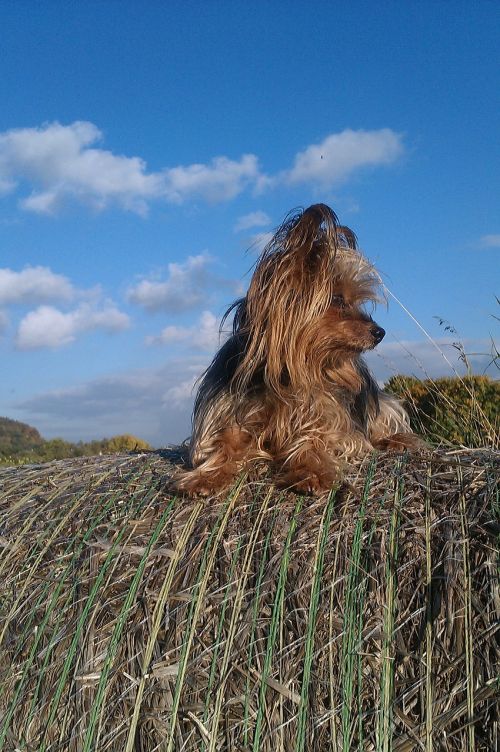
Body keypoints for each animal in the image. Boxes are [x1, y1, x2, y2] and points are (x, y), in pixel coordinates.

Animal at [174, 203, 420, 496]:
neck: (287, 373)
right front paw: (205, 477)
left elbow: (313, 439)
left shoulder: (327, 418)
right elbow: (224, 443)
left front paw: (311, 472)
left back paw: (397, 440)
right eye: (338, 299)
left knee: (384, 420)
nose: (380, 332)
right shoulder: (228, 412)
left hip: (374, 401)